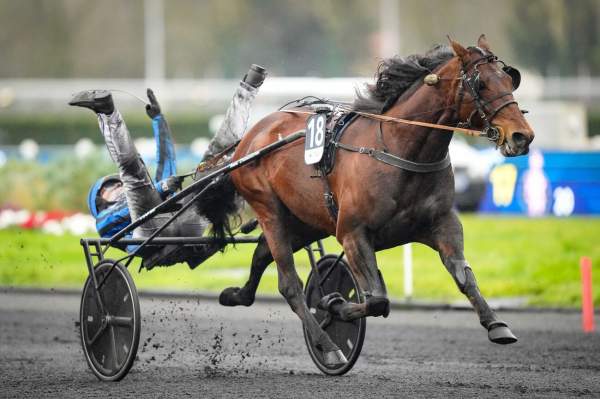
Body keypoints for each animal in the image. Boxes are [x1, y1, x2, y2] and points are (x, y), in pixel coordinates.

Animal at [211, 36, 536, 368]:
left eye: (510, 79)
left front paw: (496, 324)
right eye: (480, 84)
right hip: (270, 210)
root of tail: (248, 139)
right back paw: (328, 345)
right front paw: (336, 306)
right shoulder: (353, 233)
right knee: (289, 285)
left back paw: (236, 295)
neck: (399, 149)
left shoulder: (442, 223)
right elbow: (377, 299)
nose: (522, 136)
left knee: (262, 255)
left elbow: (464, 275)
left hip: (305, 221)